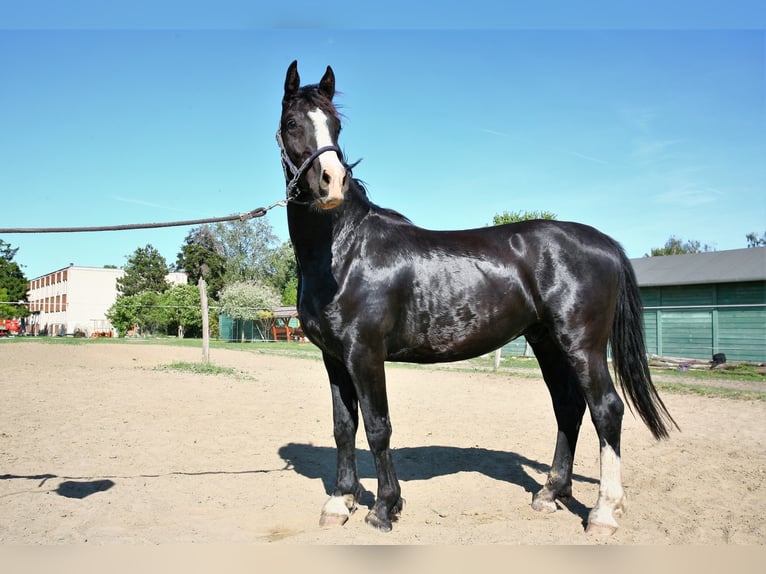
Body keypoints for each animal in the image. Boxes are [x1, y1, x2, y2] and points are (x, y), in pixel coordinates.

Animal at [278, 60, 680, 536]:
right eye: (292, 123)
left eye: (336, 126)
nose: (332, 182)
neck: (345, 250)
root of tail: (605, 242)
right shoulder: (334, 357)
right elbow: (344, 426)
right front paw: (340, 502)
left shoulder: (365, 353)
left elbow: (377, 427)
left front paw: (384, 507)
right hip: (547, 342)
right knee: (568, 407)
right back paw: (550, 493)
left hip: (583, 345)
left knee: (606, 409)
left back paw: (603, 511)